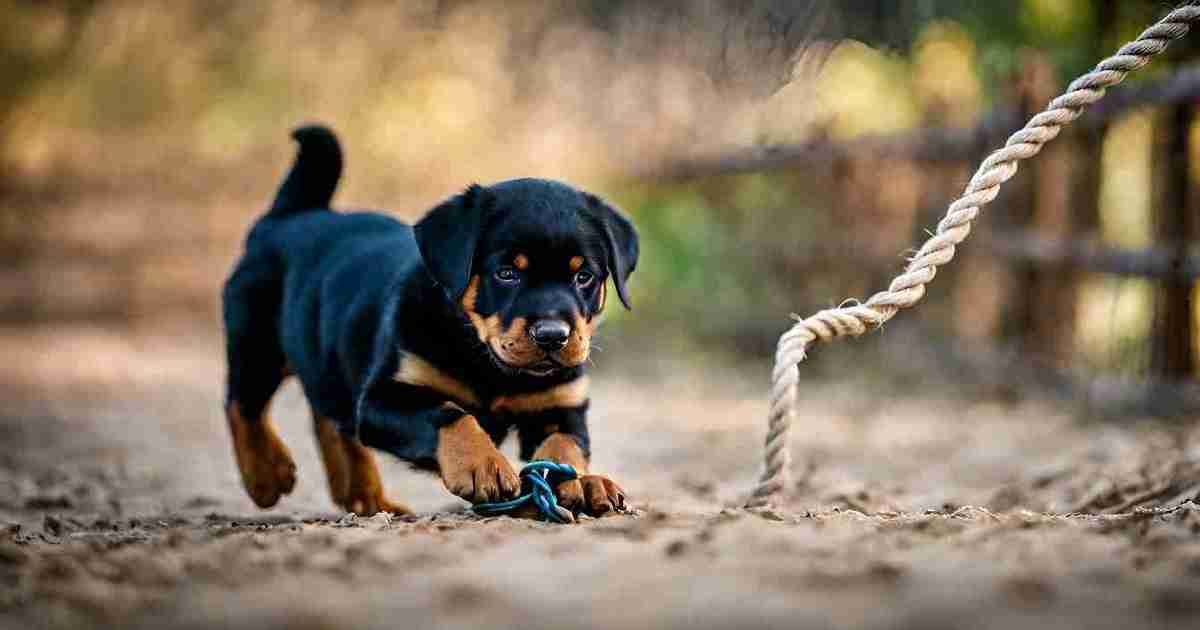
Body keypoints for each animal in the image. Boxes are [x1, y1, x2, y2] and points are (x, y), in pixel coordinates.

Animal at [224, 124, 638, 516]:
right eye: (507, 273)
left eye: (584, 276)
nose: (553, 336)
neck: (486, 361)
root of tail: (286, 218)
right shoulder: (384, 396)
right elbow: (449, 414)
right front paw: (483, 464)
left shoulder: (561, 404)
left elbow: (566, 444)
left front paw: (583, 483)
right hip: (256, 338)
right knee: (243, 403)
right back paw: (267, 474)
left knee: (332, 419)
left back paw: (365, 497)